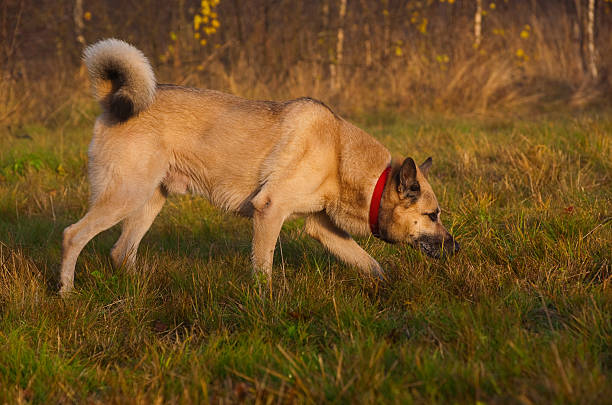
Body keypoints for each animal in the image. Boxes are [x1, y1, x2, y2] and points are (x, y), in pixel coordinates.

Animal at [58, 39, 460, 294]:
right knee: (73, 236)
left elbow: (372, 265)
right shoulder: (269, 211)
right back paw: (66, 293)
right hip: (124, 197)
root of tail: (111, 100)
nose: (456, 248)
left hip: (148, 202)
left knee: (120, 252)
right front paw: (266, 305)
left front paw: (390, 289)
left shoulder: (322, 229)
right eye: (433, 215)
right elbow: (262, 269)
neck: (339, 155)